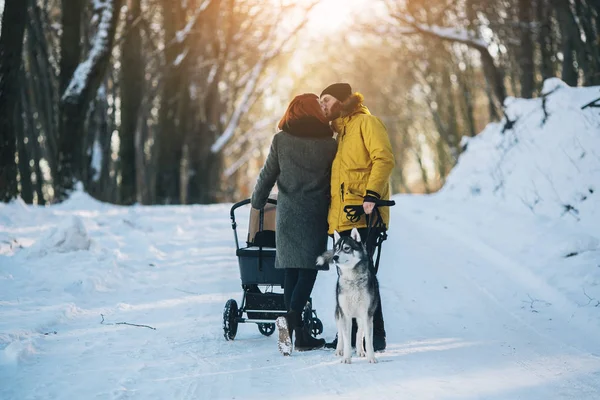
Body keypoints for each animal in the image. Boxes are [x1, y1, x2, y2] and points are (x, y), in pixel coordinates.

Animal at [316, 228, 378, 362]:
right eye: (336, 248)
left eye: (346, 248)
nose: (335, 257)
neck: (352, 280)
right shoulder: (345, 314)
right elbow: (346, 339)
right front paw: (346, 358)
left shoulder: (366, 314)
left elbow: (368, 339)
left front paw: (371, 357)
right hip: (339, 313)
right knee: (340, 334)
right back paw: (339, 350)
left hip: (361, 317)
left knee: (359, 333)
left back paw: (360, 351)